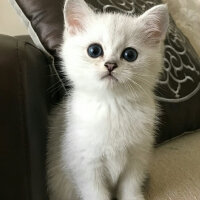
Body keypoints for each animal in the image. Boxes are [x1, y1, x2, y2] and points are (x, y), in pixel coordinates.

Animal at [47, 0, 169, 199]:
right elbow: (96, 194)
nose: (110, 65)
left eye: (130, 54)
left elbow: (130, 188)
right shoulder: (86, 167)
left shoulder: (137, 159)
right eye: (94, 50)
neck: (112, 106)